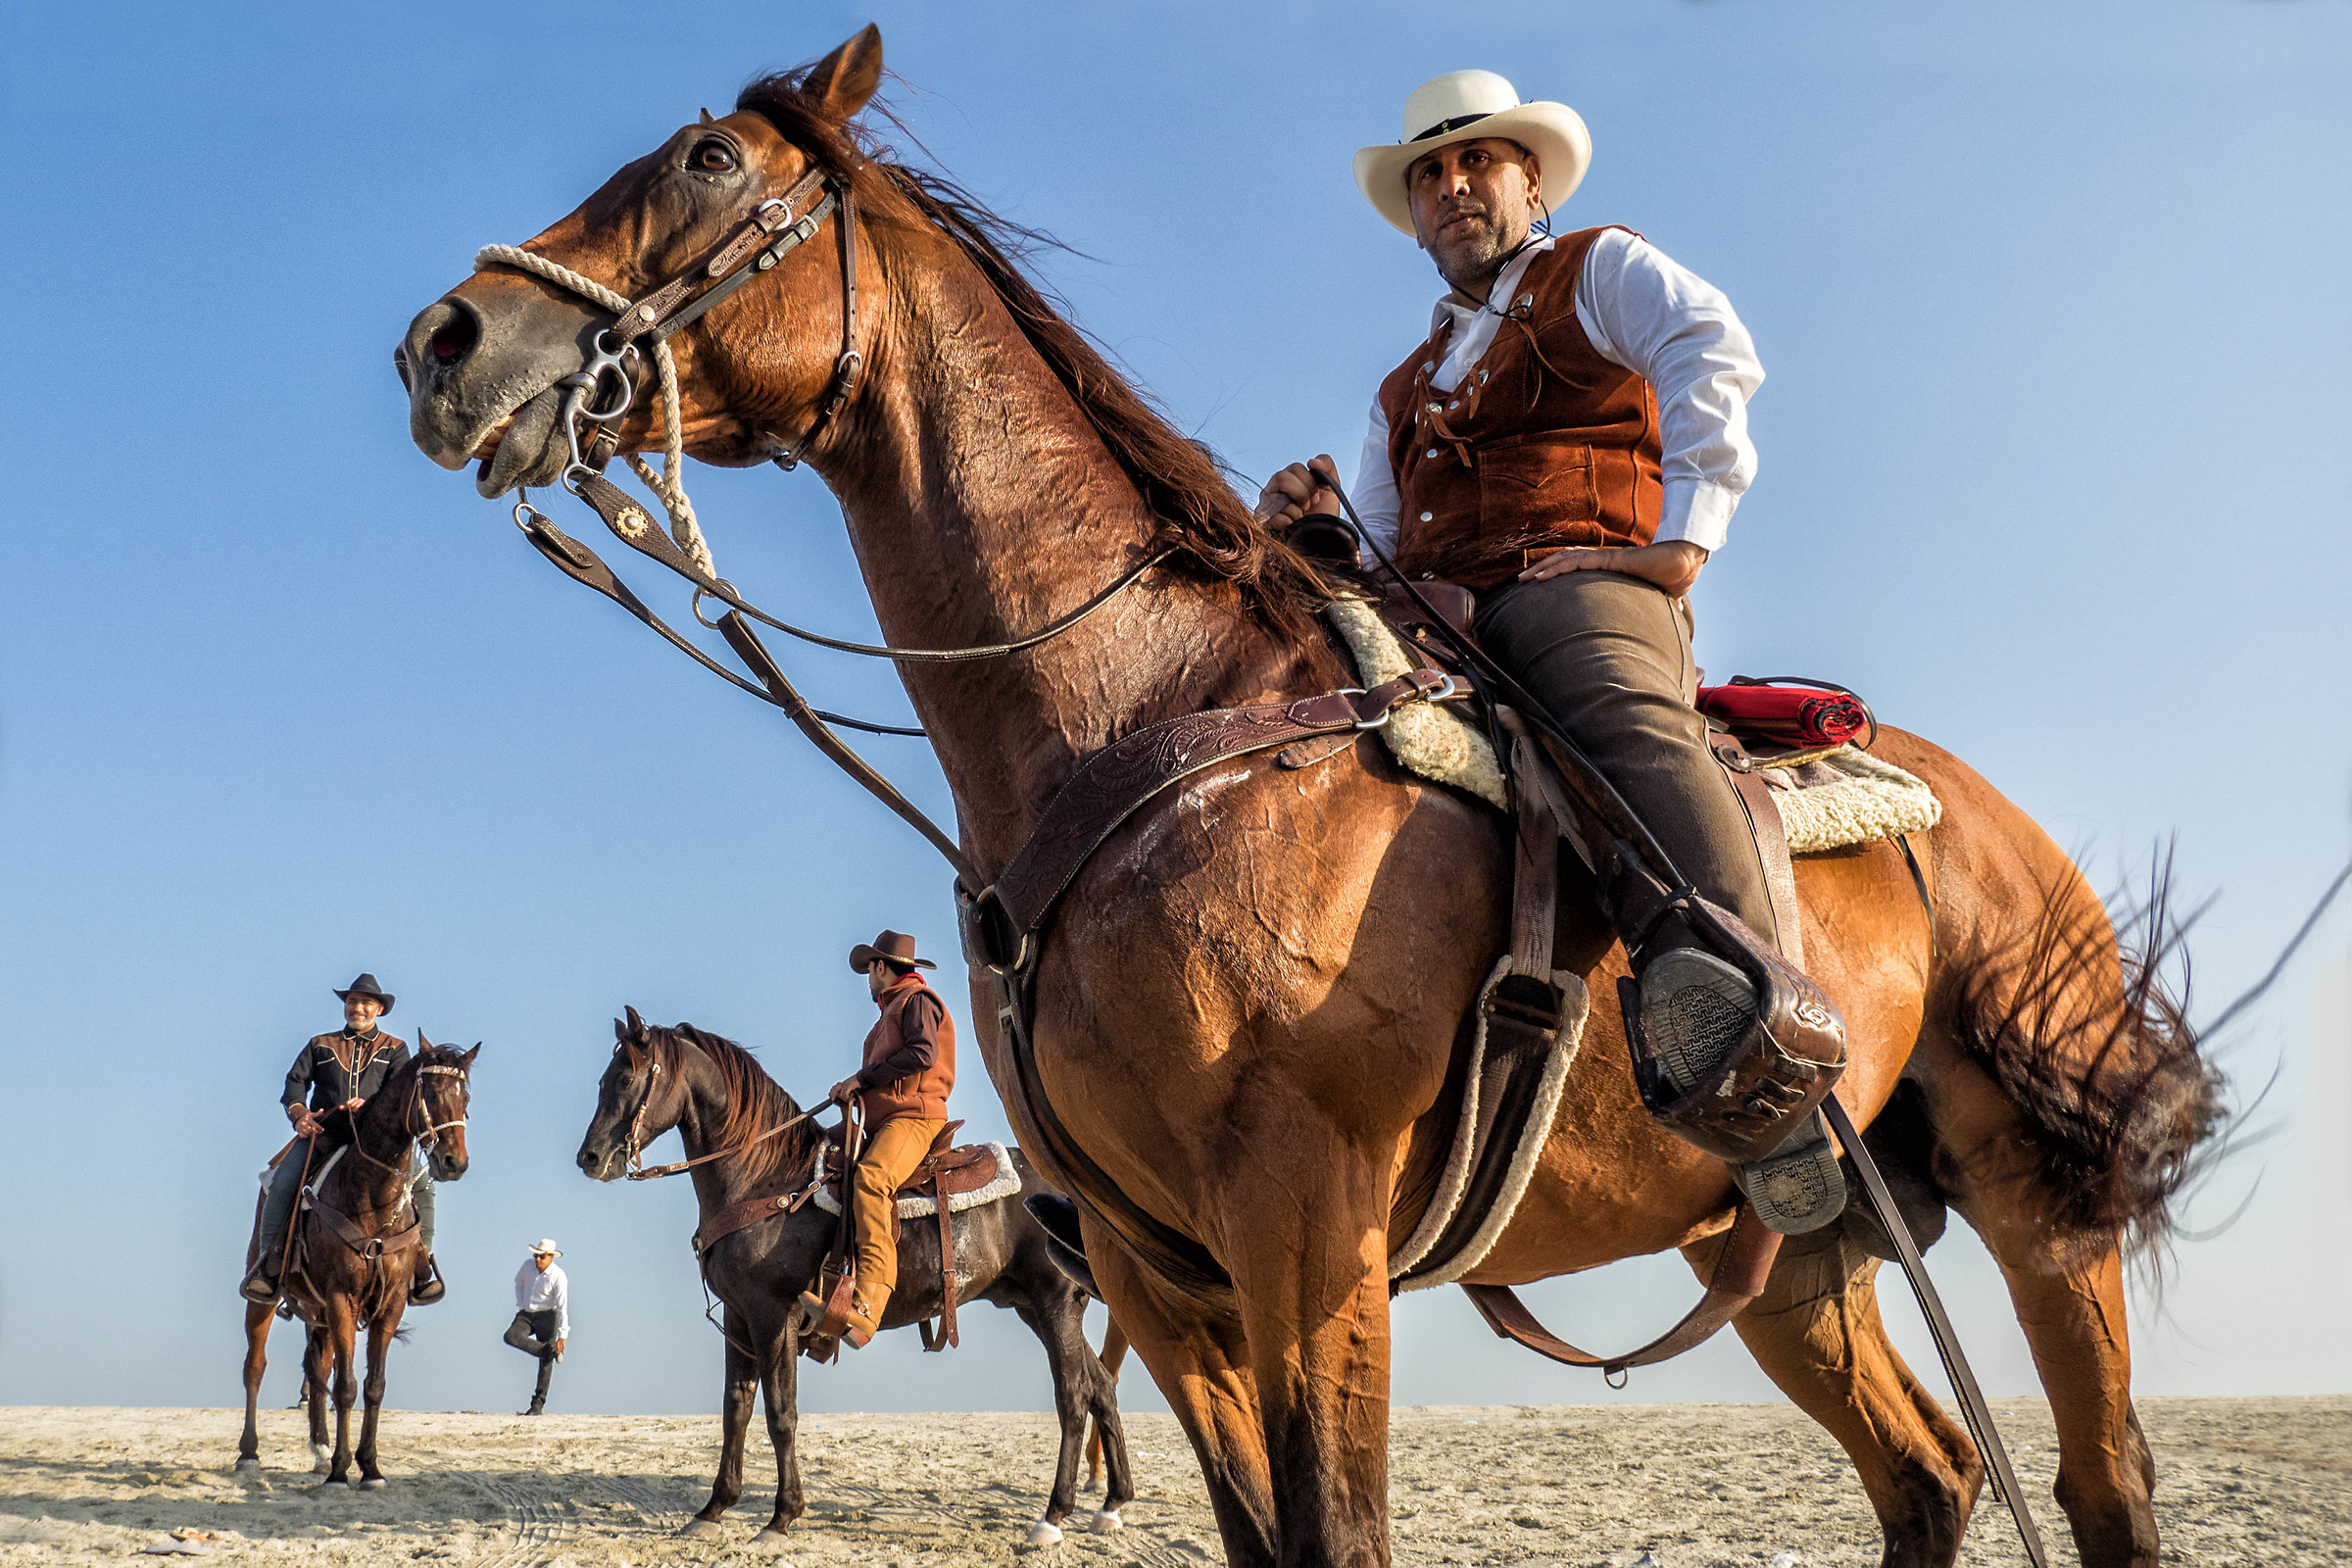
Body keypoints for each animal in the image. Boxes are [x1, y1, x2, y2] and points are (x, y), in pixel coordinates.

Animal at [236, 1038, 476, 1485]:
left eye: (465, 1097)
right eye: (433, 1095)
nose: (454, 1163)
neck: (371, 1195)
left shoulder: (391, 1303)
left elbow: (373, 1385)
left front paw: (370, 1467)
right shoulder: (341, 1297)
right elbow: (347, 1386)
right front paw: (340, 1471)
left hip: (318, 1313)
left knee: (316, 1366)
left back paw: (319, 1447)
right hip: (265, 1300)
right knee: (255, 1366)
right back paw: (249, 1452)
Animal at [573, 1008, 1133, 1546]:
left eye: (626, 1077)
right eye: (601, 1078)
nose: (590, 1158)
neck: (764, 1180)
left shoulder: (774, 1315)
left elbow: (780, 1414)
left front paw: (781, 1518)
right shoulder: (738, 1316)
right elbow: (736, 1408)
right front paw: (712, 1510)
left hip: (1055, 1304)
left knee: (1073, 1397)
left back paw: (1053, 1516)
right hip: (1034, 1307)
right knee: (1101, 1385)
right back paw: (1111, 1505)